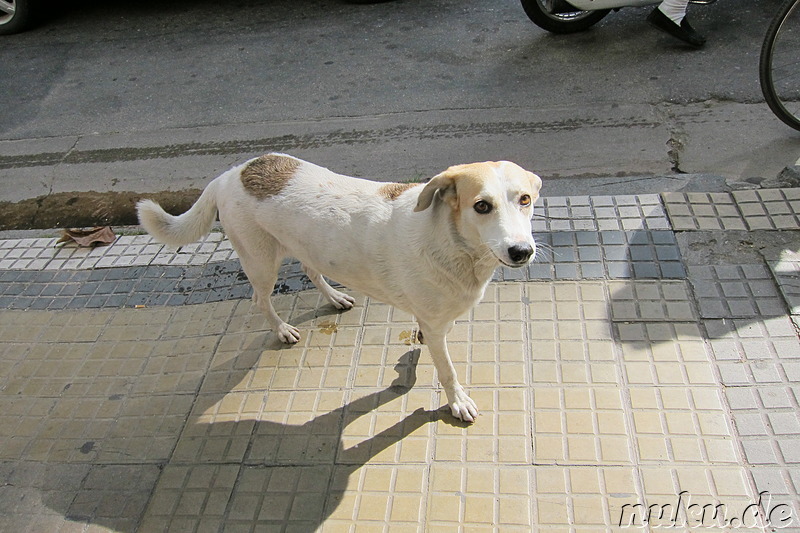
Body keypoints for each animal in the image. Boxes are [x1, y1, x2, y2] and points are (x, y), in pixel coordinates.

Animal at [138, 153, 540, 420]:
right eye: (481, 206)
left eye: (525, 199)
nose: (522, 252)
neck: (452, 241)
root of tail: (229, 174)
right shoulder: (437, 324)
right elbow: (447, 370)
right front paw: (457, 400)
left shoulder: (440, 317)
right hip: (261, 263)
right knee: (259, 299)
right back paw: (282, 329)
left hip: (308, 247)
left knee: (310, 269)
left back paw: (334, 297)